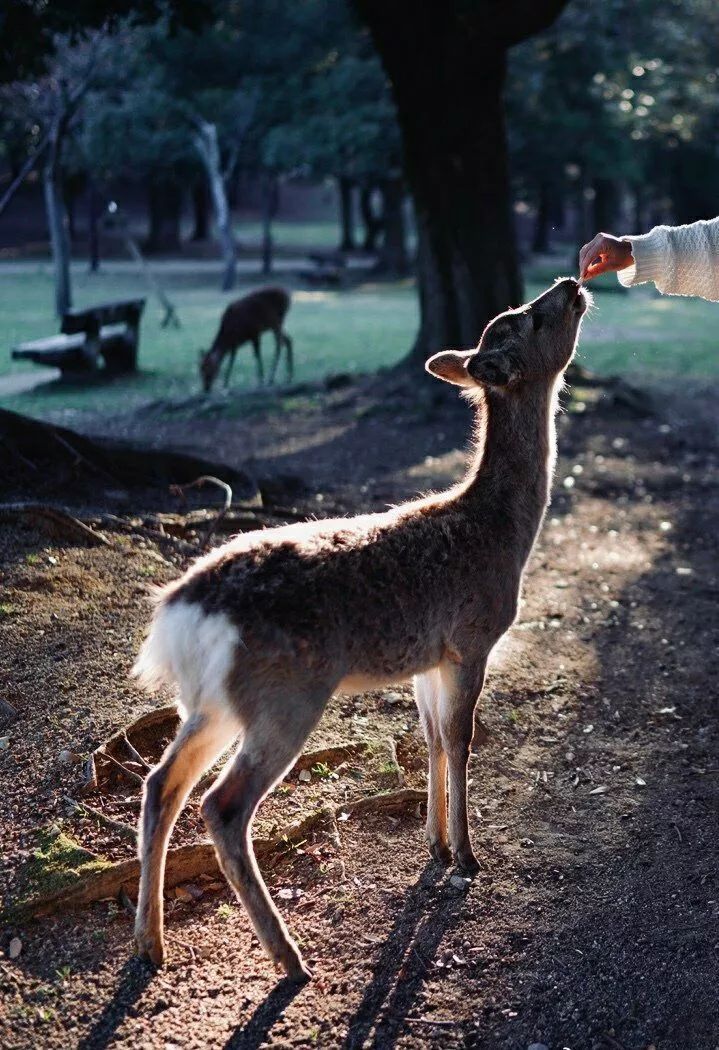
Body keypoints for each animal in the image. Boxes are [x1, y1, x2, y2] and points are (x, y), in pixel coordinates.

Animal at [133, 275, 587, 978]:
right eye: (528, 320)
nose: (570, 285)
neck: (505, 536)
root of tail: (178, 614)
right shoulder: (472, 639)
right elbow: (461, 740)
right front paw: (467, 856)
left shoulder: (429, 658)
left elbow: (432, 738)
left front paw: (435, 845)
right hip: (285, 693)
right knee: (221, 804)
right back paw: (289, 959)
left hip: (212, 702)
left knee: (161, 784)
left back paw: (150, 943)